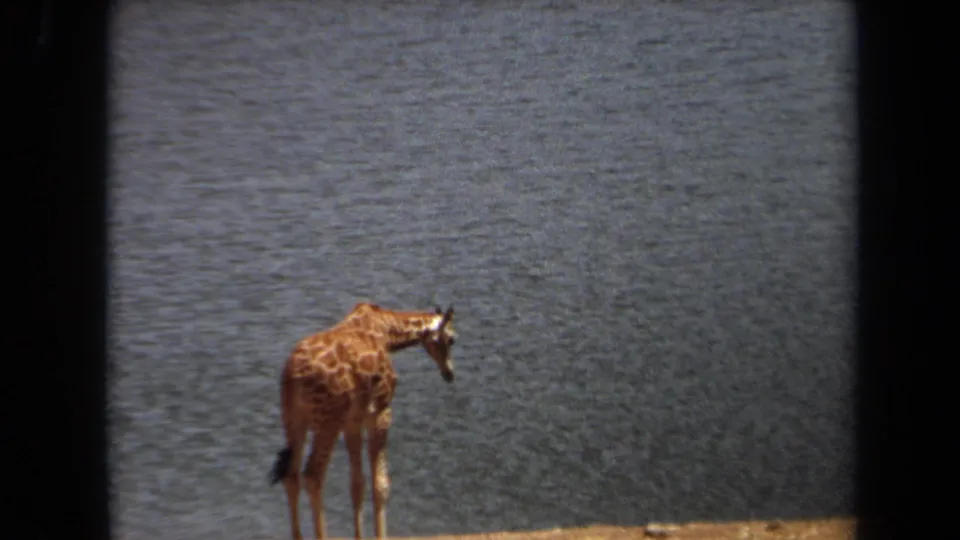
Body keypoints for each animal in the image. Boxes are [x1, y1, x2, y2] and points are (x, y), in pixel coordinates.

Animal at [269, 302, 458, 540]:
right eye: (451, 339)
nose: (449, 373)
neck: (387, 332)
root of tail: (293, 377)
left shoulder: (353, 421)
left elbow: (357, 485)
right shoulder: (381, 412)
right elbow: (381, 485)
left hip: (293, 419)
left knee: (291, 476)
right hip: (327, 422)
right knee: (313, 476)